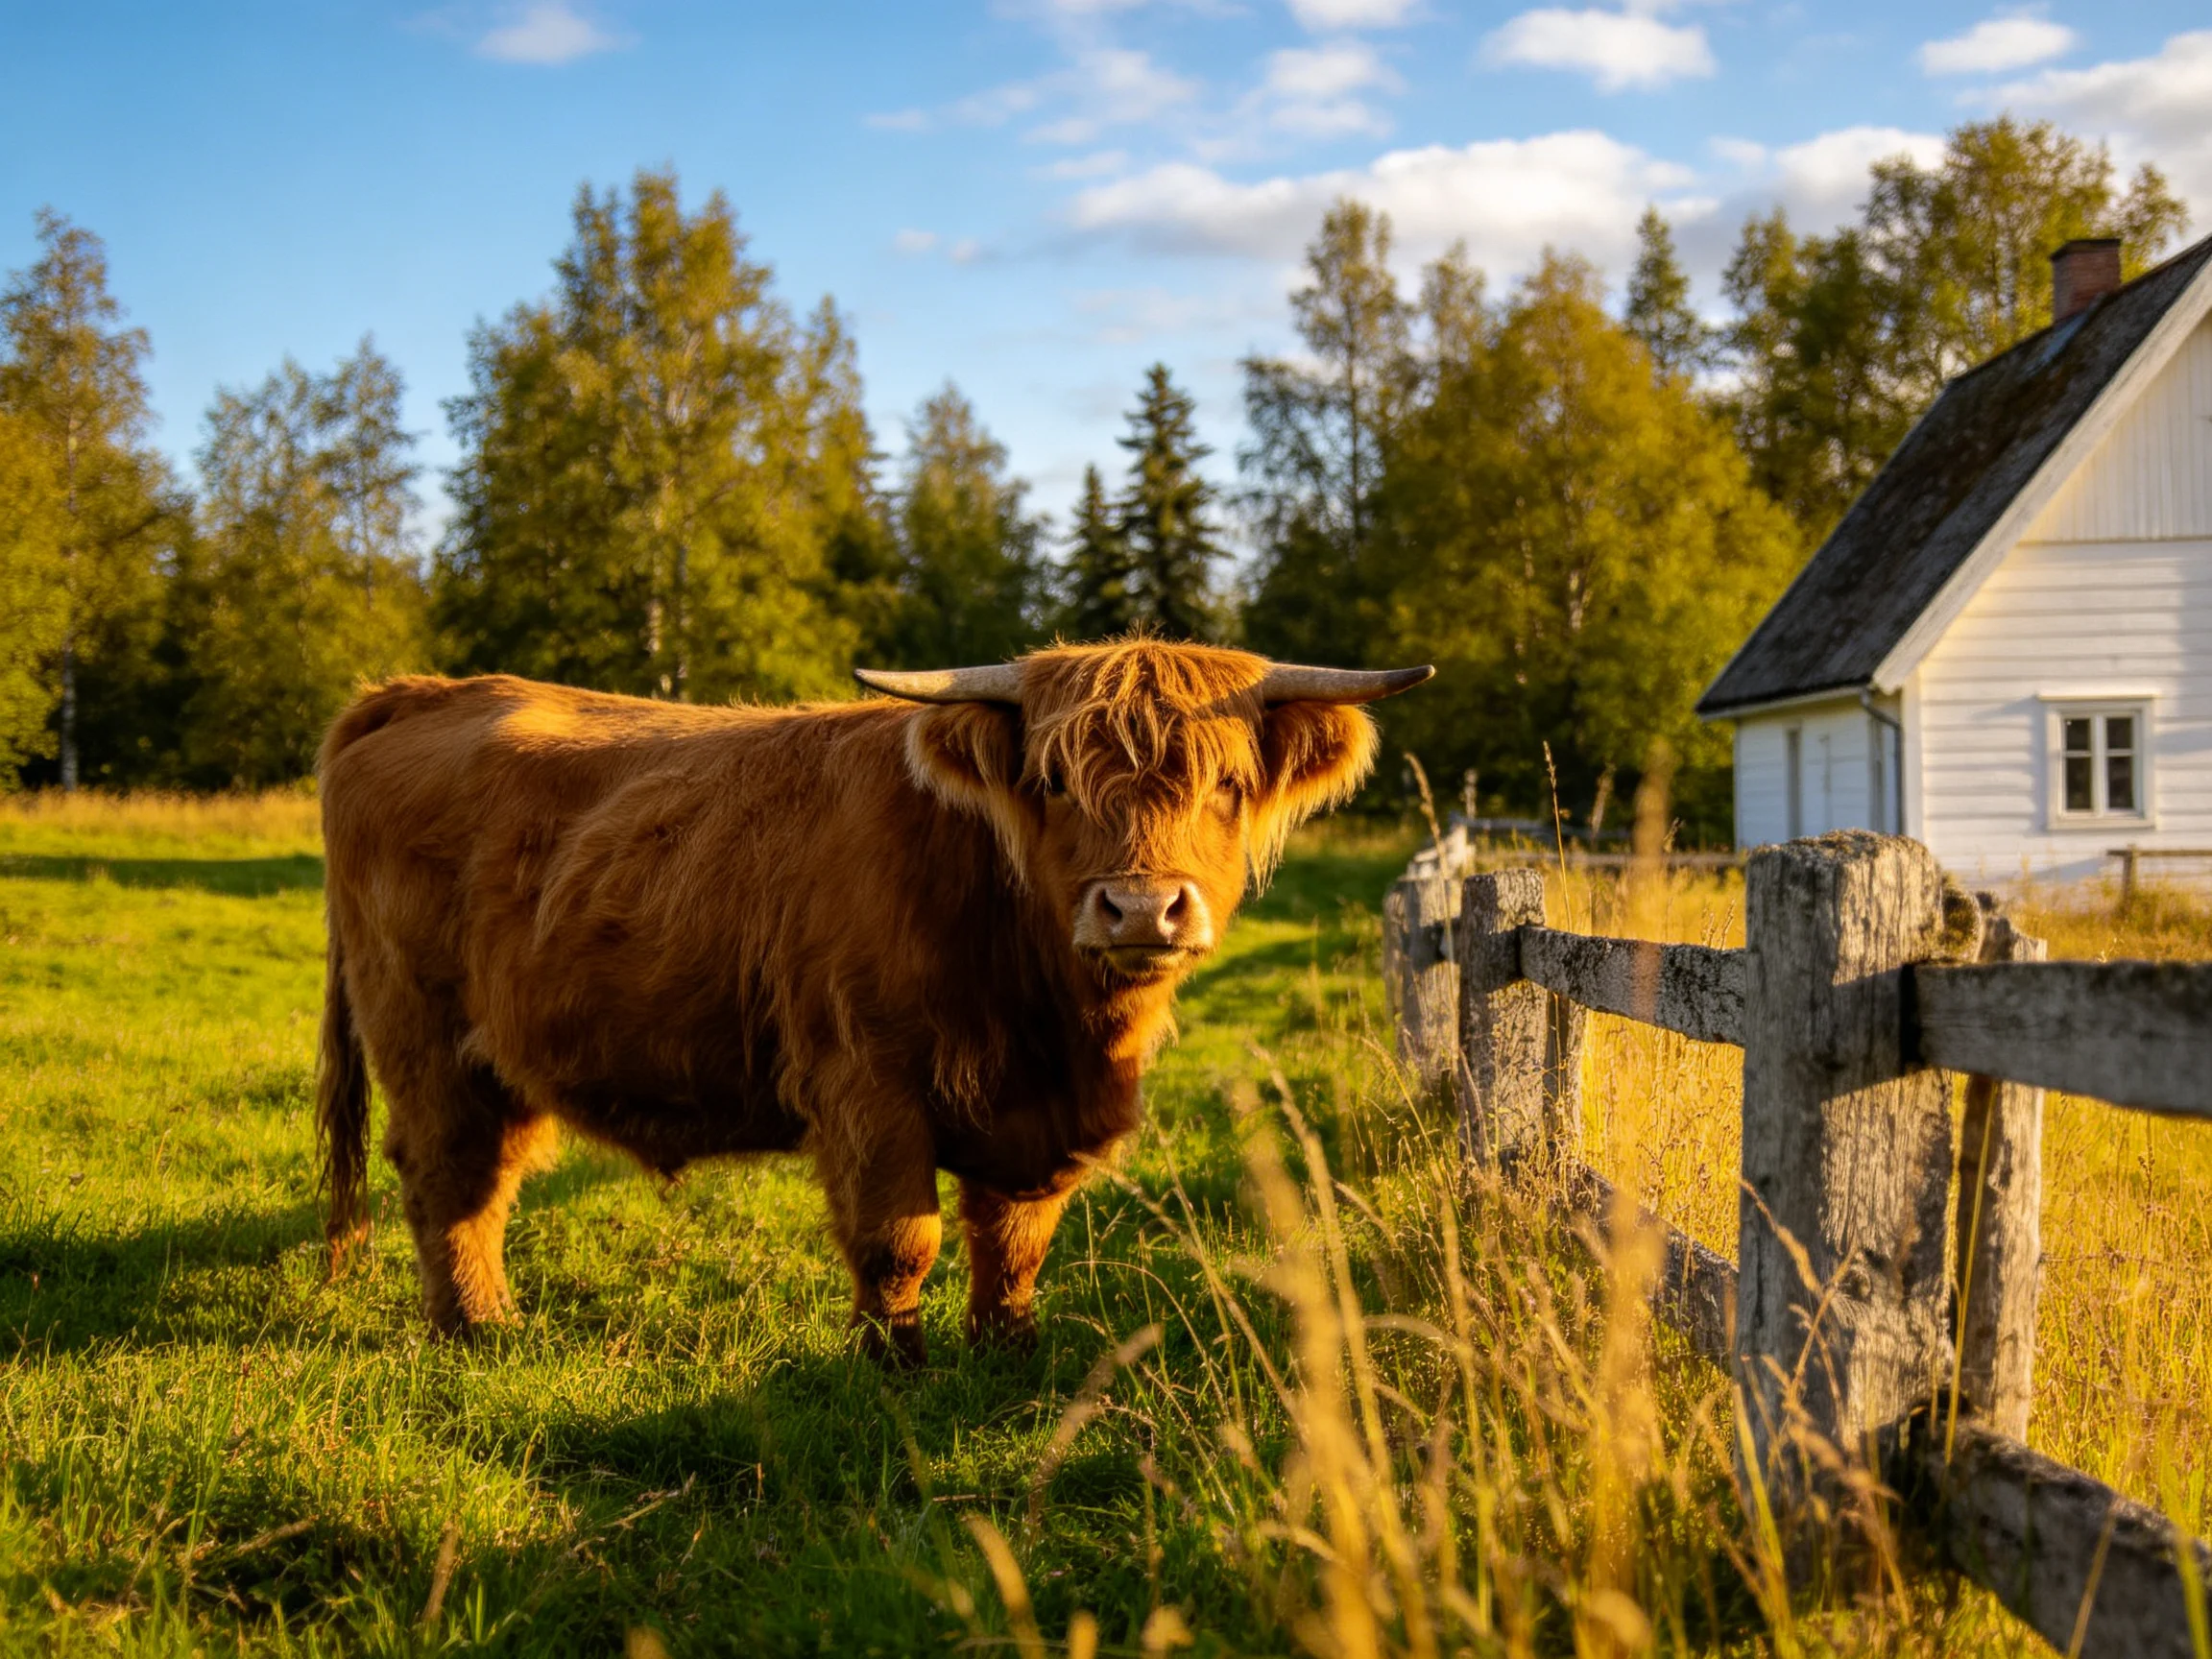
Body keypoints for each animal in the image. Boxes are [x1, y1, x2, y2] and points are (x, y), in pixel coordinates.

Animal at [314, 640, 1430, 1363]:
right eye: (1056, 783)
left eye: (1228, 784)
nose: (1142, 908)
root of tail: (419, 692)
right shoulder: (865, 1079)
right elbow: (901, 1238)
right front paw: (892, 1364)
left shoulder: (1038, 1115)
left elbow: (1016, 1237)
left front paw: (1008, 1349)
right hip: (423, 1033)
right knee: (448, 1175)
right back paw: (476, 1328)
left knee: (490, 1176)